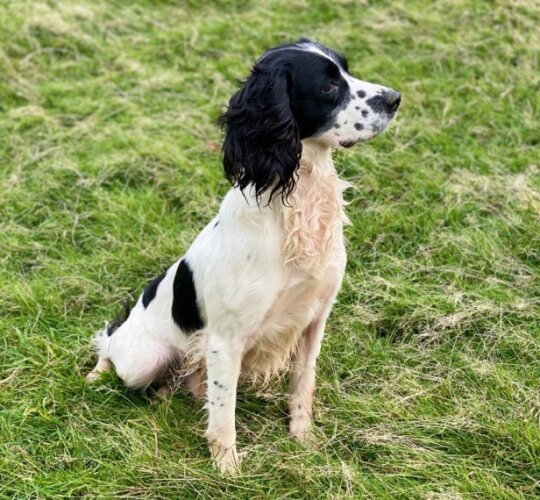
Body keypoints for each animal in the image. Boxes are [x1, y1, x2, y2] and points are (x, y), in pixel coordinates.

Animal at [87, 39, 400, 472]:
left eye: (347, 70)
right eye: (328, 86)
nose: (396, 98)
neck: (295, 203)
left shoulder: (315, 318)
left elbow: (303, 384)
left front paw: (303, 439)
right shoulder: (225, 339)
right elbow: (224, 413)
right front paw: (228, 468)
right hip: (143, 358)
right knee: (111, 344)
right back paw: (98, 372)